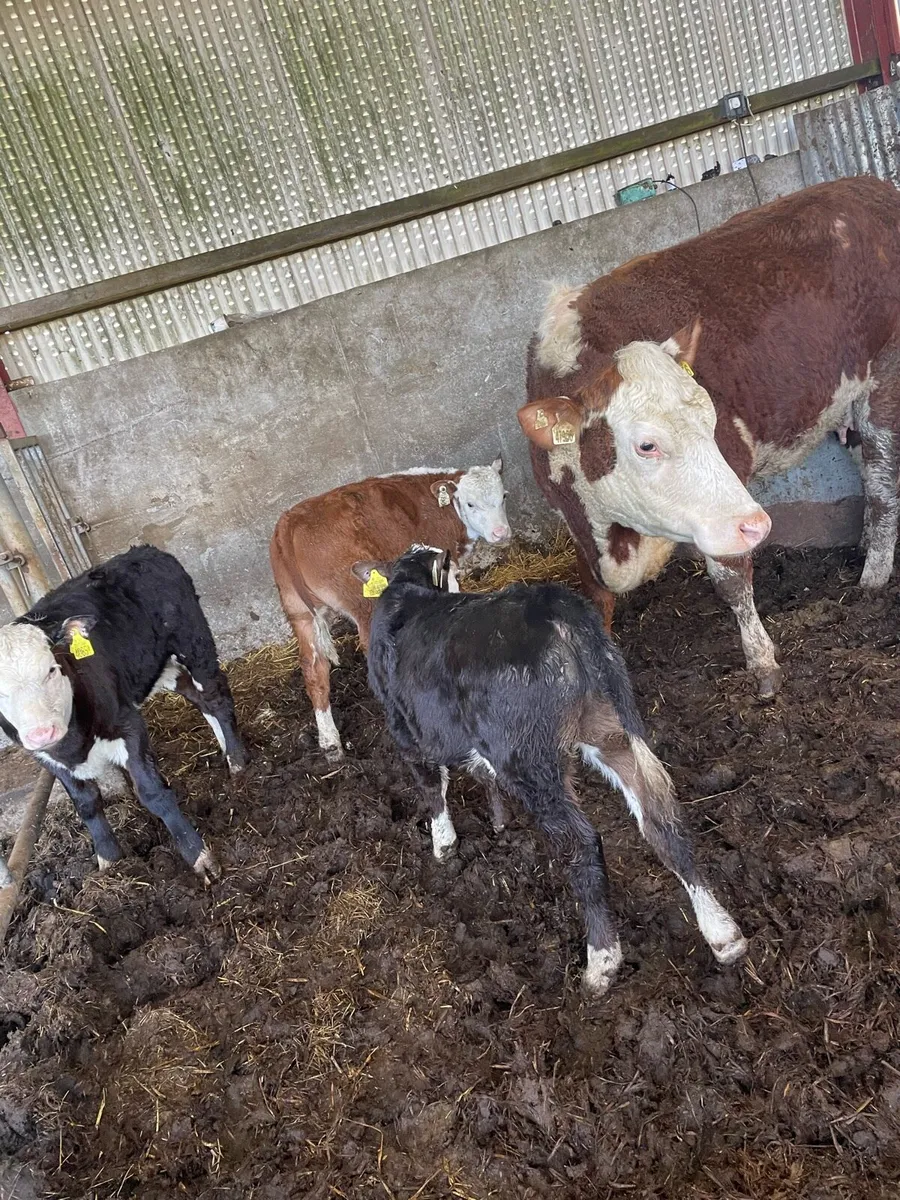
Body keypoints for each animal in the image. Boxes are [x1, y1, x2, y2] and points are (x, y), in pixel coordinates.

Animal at [0, 545, 247, 882]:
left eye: (51, 669)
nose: (41, 732)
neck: (74, 745)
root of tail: (143, 550)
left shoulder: (128, 724)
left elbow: (152, 792)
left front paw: (199, 857)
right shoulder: (46, 758)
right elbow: (87, 804)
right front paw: (109, 859)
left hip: (194, 643)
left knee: (216, 699)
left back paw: (237, 761)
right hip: (166, 666)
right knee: (202, 702)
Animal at [269, 460, 510, 760]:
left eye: (503, 496)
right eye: (470, 503)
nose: (501, 533)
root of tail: (289, 521)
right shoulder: (444, 568)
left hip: (299, 613)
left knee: (313, 668)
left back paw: (330, 742)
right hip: (362, 600)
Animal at [357, 543, 746, 996]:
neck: (407, 587)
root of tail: (552, 606)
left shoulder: (408, 732)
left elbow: (432, 789)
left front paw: (444, 847)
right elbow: (480, 776)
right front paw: (499, 822)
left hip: (530, 761)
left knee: (584, 843)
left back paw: (602, 962)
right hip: (611, 727)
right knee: (660, 816)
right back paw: (723, 933)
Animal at [518, 175, 900, 699]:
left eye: (711, 420)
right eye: (647, 444)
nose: (758, 524)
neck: (619, 539)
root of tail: (869, 187)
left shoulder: (729, 490)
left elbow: (730, 577)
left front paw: (761, 662)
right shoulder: (578, 530)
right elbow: (596, 604)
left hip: (884, 372)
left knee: (882, 485)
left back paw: (871, 580)